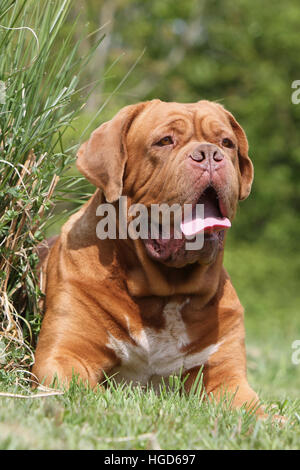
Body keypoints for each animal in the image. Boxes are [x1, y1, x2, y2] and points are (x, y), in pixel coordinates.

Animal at [32, 98, 264, 412]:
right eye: (165, 141)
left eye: (226, 143)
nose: (209, 154)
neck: (165, 296)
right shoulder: (64, 354)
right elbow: (85, 390)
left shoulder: (226, 377)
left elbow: (254, 410)